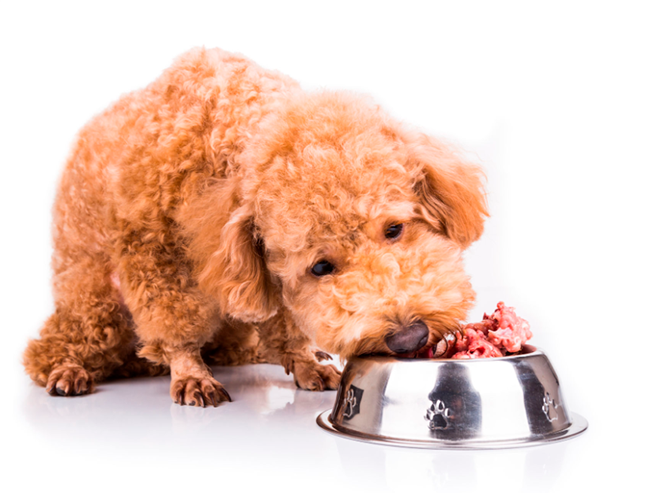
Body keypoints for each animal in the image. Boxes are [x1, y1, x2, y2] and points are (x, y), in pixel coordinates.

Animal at [22, 47, 484, 408]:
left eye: (394, 229)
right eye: (321, 267)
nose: (409, 336)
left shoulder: (264, 274)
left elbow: (286, 321)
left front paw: (304, 360)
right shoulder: (155, 254)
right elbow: (174, 322)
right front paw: (189, 372)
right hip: (95, 302)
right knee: (53, 346)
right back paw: (69, 369)